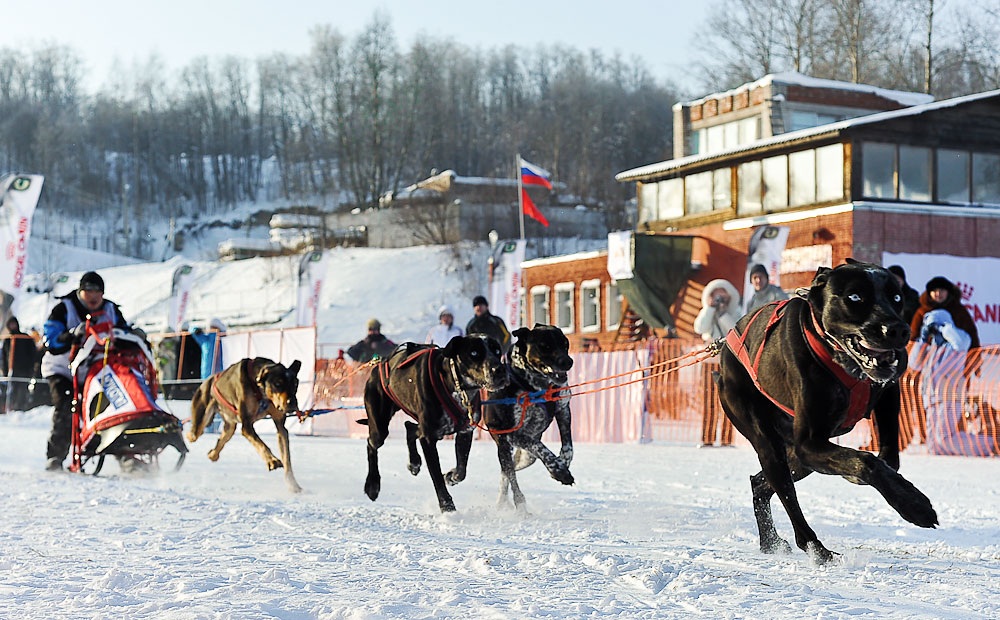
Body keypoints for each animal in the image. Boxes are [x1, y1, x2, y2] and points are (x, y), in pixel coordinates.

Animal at [188, 358, 302, 494]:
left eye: (295, 384)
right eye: (278, 384)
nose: (292, 403)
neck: (260, 392)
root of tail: (206, 382)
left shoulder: (280, 426)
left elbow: (287, 459)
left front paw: (293, 484)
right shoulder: (247, 426)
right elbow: (262, 444)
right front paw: (272, 460)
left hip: (230, 427)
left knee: (221, 440)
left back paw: (213, 454)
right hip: (201, 421)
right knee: (193, 433)